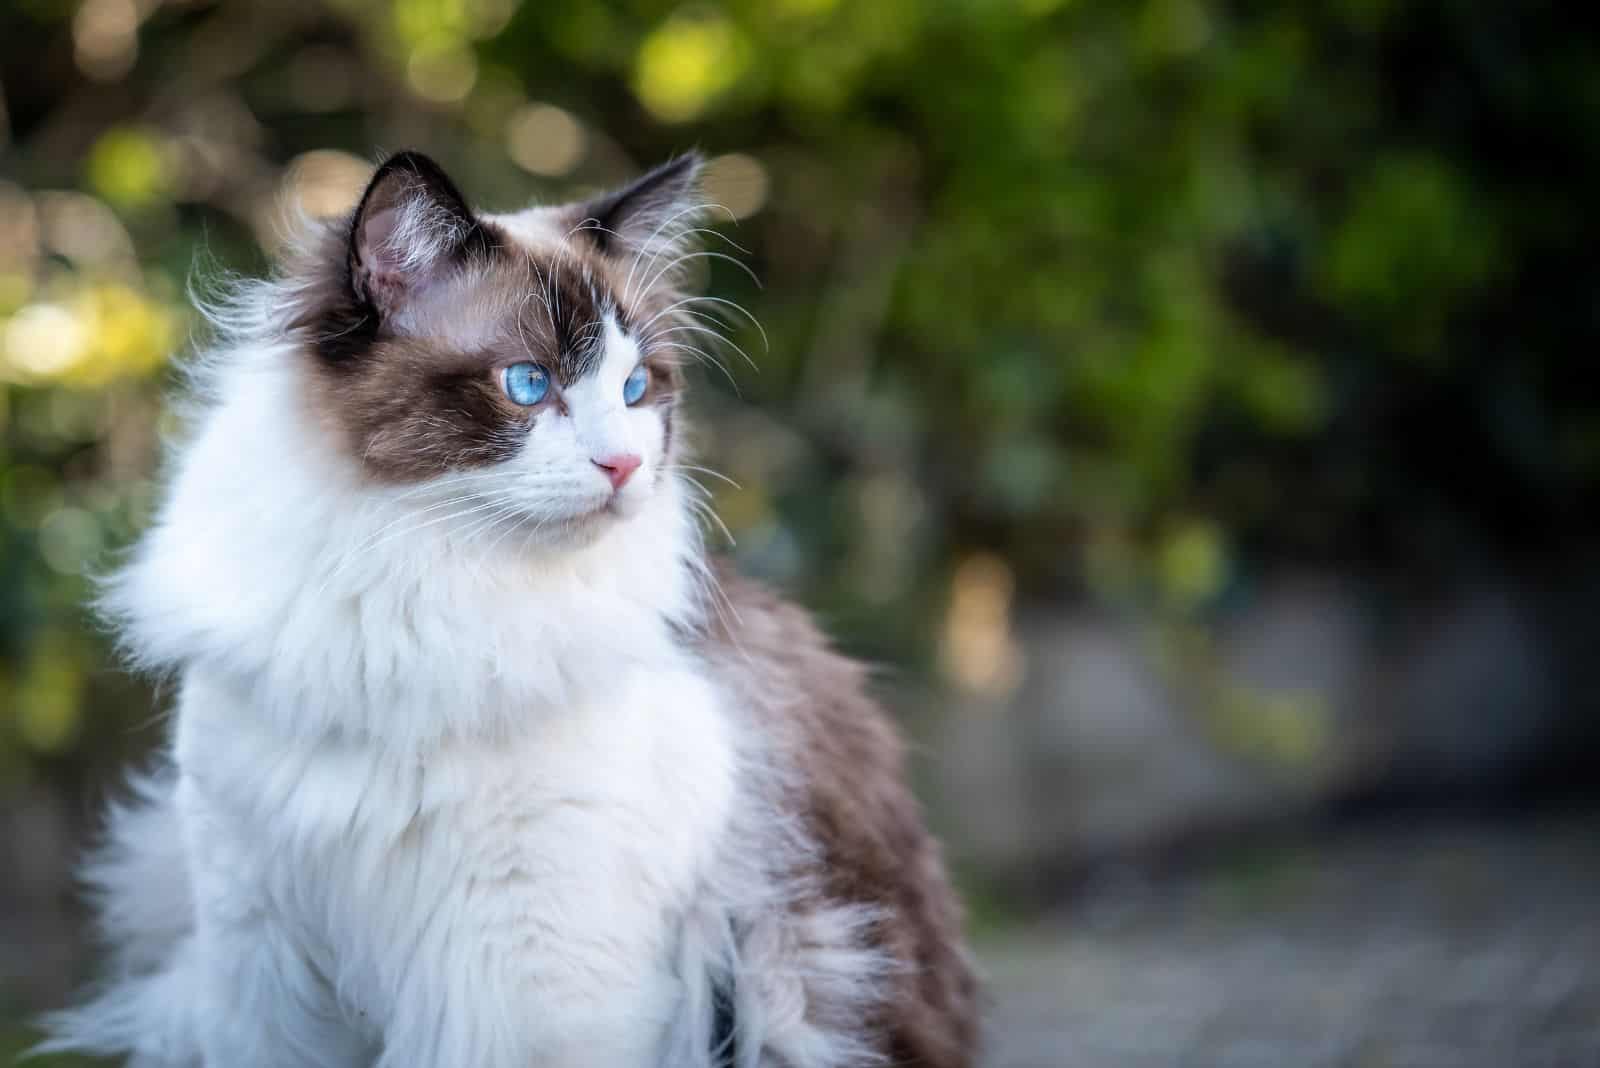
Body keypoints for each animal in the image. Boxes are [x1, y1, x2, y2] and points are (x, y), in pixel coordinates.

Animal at [37, 150, 979, 1068]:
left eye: (635, 390)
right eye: (528, 384)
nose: (624, 467)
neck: (424, 596)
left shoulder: (524, 972)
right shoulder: (263, 955)